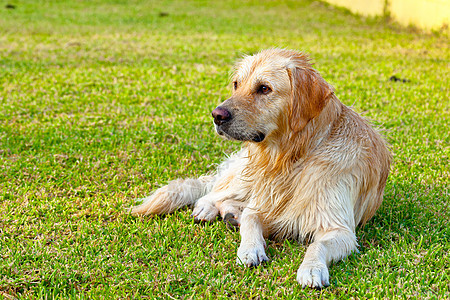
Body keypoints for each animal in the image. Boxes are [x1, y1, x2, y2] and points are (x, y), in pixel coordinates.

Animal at [132, 48, 392, 288]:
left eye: (264, 88)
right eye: (236, 84)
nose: (216, 115)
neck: (292, 158)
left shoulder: (340, 229)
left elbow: (317, 245)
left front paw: (312, 269)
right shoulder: (262, 203)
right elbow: (250, 219)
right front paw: (250, 249)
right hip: (244, 176)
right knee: (212, 192)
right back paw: (207, 209)